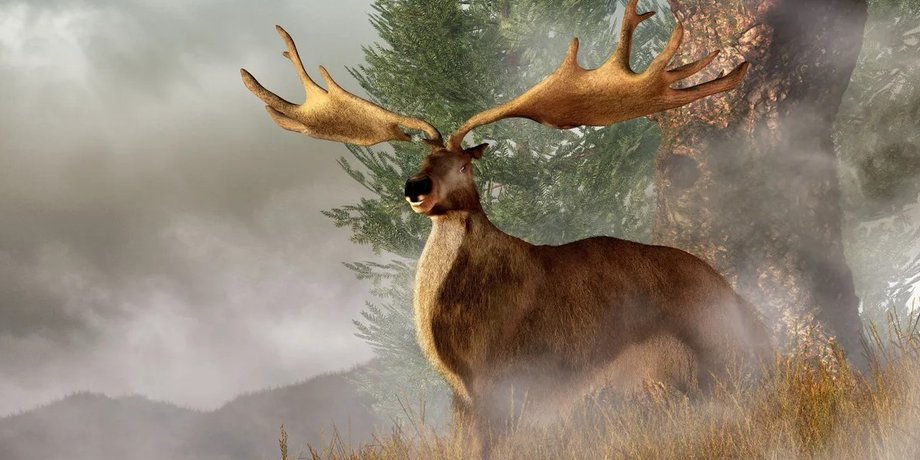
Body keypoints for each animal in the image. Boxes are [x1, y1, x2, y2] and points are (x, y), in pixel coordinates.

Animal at [241, 1, 770, 457]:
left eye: (462, 165)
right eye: (422, 160)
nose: (414, 187)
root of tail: (741, 302)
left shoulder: (502, 376)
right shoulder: (463, 393)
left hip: (695, 359)